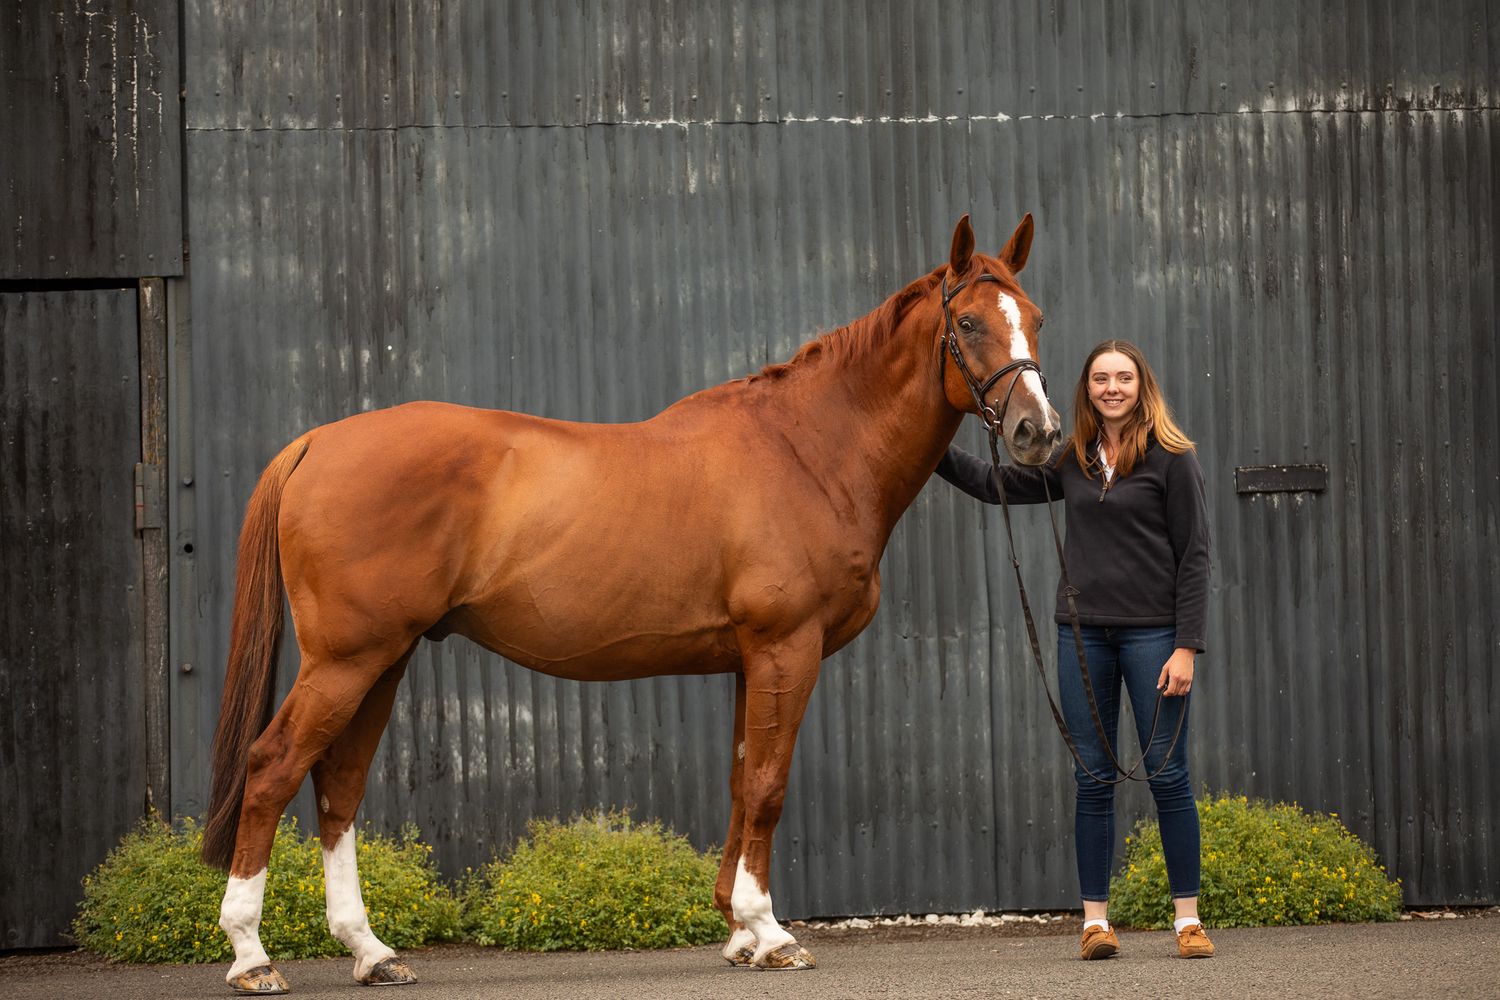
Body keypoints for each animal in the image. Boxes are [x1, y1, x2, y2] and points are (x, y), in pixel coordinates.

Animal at [201, 214, 1061, 993]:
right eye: (969, 321)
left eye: (1037, 318)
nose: (1039, 432)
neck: (807, 449)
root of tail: (316, 442)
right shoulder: (786, 647)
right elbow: (770, 786)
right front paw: (773, 933)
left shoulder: (750, 659)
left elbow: (743, 782)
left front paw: (740, 933)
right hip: (348, 659)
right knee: (273, 767)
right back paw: (251, 954)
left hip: (384, 658)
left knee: (337, 786)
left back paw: (371, 952)